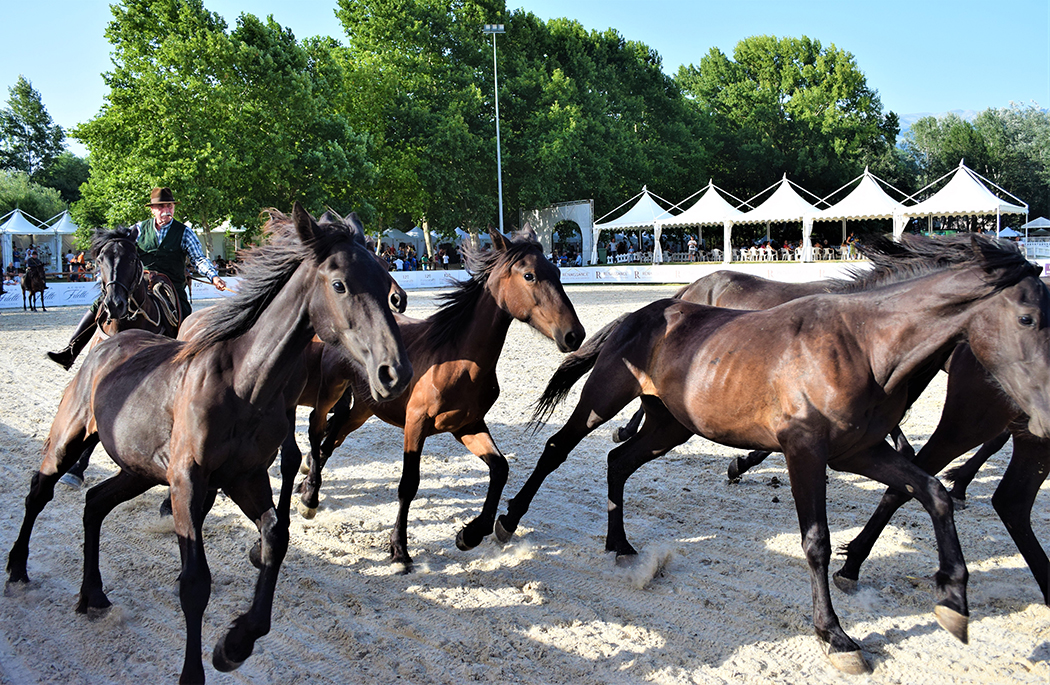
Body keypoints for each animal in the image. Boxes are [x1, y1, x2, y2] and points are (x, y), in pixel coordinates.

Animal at [5, 203, 412, 684]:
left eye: (387, 284)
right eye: (339, 284)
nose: (395, 373)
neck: (243, 384)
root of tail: (111, 341)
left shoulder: (244, 477)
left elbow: (275, 536)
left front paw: (236, 642)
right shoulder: (188, 480)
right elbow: (195, 581)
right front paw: (195, 669)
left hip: (139, 470)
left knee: (95, 504)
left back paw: (93, 595)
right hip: (68, 440)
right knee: (40, 490)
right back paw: (17, 567)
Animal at [296, 226, 586, 567]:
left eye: (557, 271)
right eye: (529, 275)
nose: (574, 335)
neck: (458, 360)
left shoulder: (467, 426)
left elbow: (500, 468)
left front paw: (470, 534)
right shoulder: (415, 423)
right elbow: (409, 484)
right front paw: (399, 549)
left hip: (364, 408)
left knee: (331, 440)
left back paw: (307, 487)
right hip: (331, 391)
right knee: (317, 430)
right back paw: (309, 497)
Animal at [494, 234, 1050, 674]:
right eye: (1028, 318)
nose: (1044, 415)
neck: (864, 346)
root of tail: (644, 311)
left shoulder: (859, 452)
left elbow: (930, 491)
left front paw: (953, 599)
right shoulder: (806, 451)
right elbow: (817, 542)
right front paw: (835, 636)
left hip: (670, 425)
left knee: (620, 462)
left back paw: (621, 543)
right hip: (604, 398)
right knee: (556, 448)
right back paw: (507, 520)